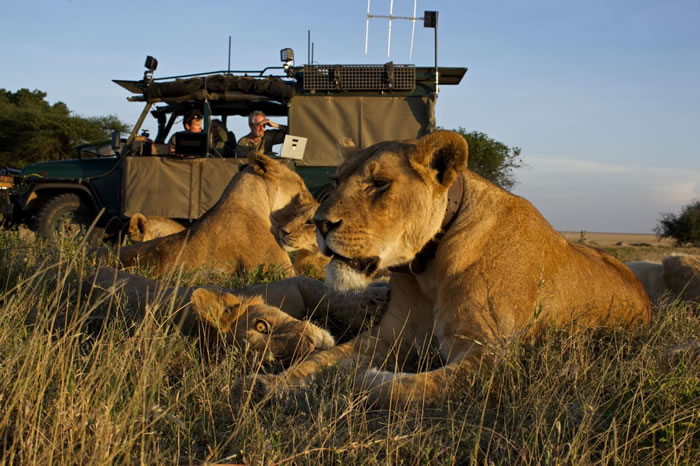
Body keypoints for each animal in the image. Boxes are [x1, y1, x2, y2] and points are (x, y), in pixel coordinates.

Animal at [246, 129, 652, 406]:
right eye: (335, 181)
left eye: (379, 184)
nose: (320, 223)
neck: (427, 269)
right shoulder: (390, 336)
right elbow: (324, 357)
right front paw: (269, 384)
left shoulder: (491, 357)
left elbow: (407, 387)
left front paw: (364, 380)